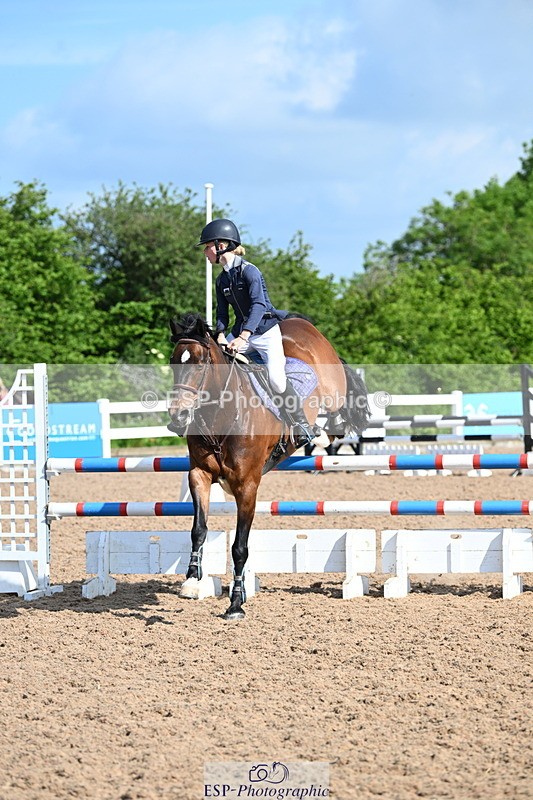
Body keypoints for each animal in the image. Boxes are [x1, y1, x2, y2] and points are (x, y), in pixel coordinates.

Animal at [168, 312, 369, 620]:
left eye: (200, 362)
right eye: (173, 361)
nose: (177, 418)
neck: (222, 414)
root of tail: (299, 322)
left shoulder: (247, 486)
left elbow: (240, 547)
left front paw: (236, 604)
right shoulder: (199, 475)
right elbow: (198, 528)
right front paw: (192, 581)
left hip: (332, 385)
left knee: (338, 410)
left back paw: (320, 433)